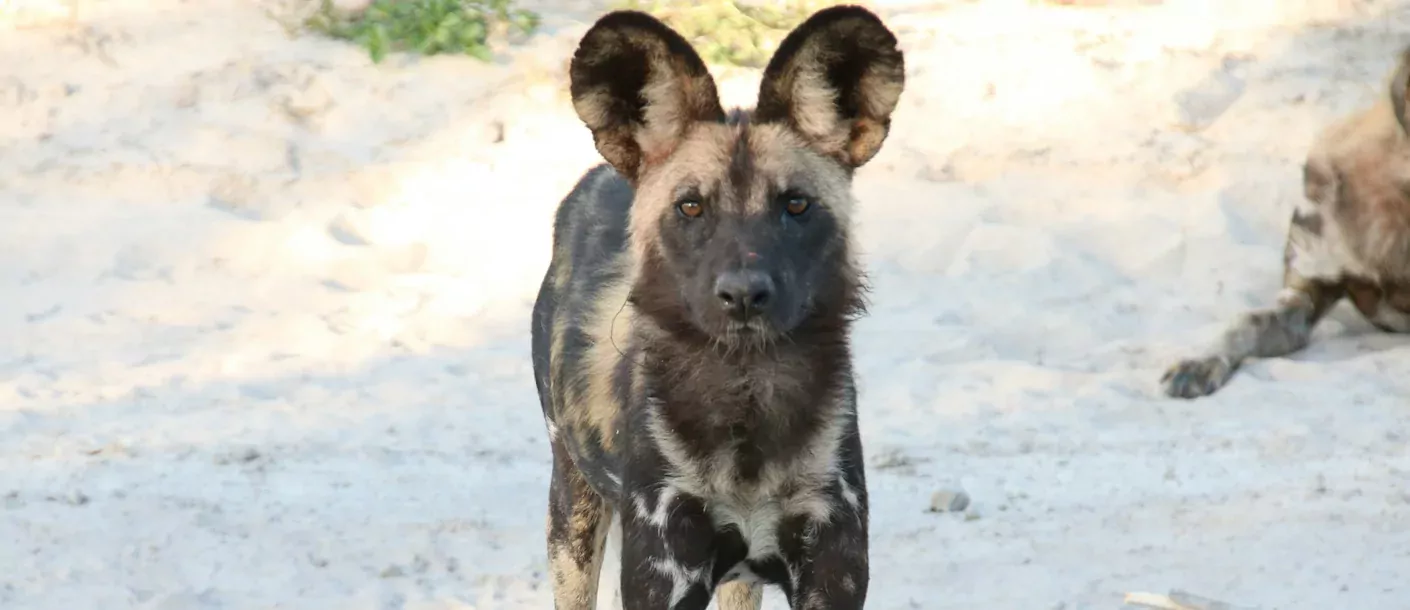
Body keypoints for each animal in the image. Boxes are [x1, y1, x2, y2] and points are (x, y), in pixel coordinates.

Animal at [530, 4, 902, 608]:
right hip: (573, 517)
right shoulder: (663, 570)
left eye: (796, 204)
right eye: (690, 207)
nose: (744, 293)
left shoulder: (832, 568)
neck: (746, 409)